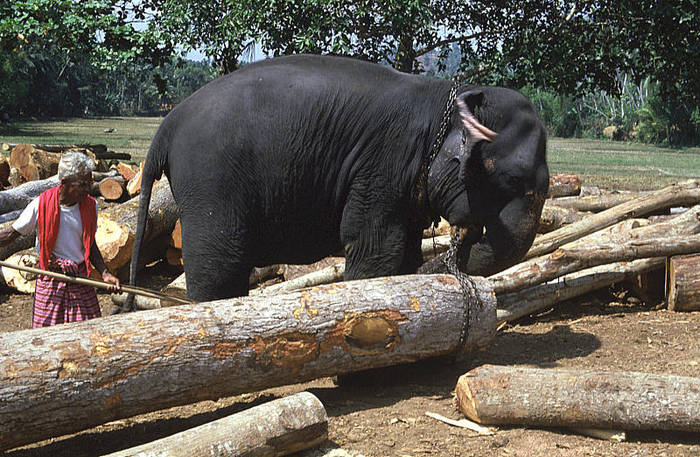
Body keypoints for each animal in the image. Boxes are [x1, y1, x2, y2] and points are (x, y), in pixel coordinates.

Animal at [129, 53, 548, 302]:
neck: (443, 96)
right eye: (510, 179)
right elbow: (376, 245)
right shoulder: (383, 162)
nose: (467, 232)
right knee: (220, 261)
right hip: (211, 180)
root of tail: (167, 123)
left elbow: (406, 250)